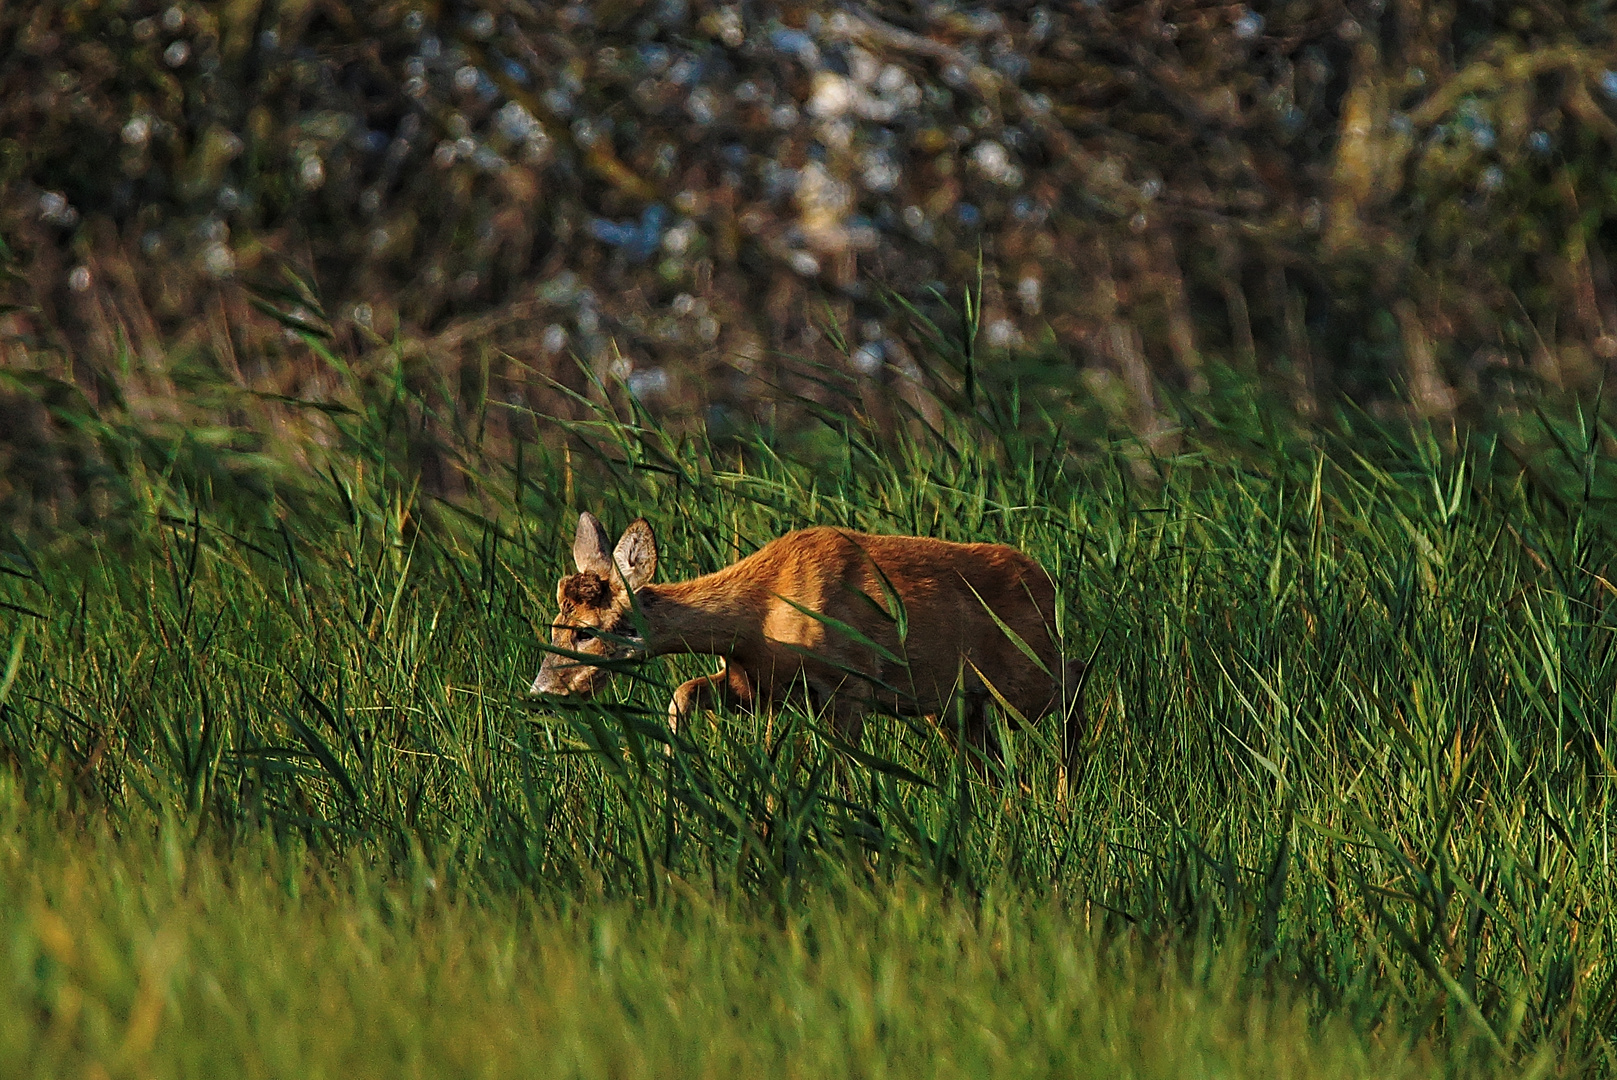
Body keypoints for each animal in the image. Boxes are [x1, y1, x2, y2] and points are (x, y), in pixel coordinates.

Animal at [530, 510, 1086, 772]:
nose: (540, 692)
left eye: (585, 631)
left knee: (1076, 684)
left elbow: (842, 768)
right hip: (954, 708)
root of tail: (1047, 582)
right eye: (553, 627)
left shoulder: (849, 685)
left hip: (1023, 678)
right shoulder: (757, 685)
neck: (761, 614)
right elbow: (684, 691)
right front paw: (672, 766)